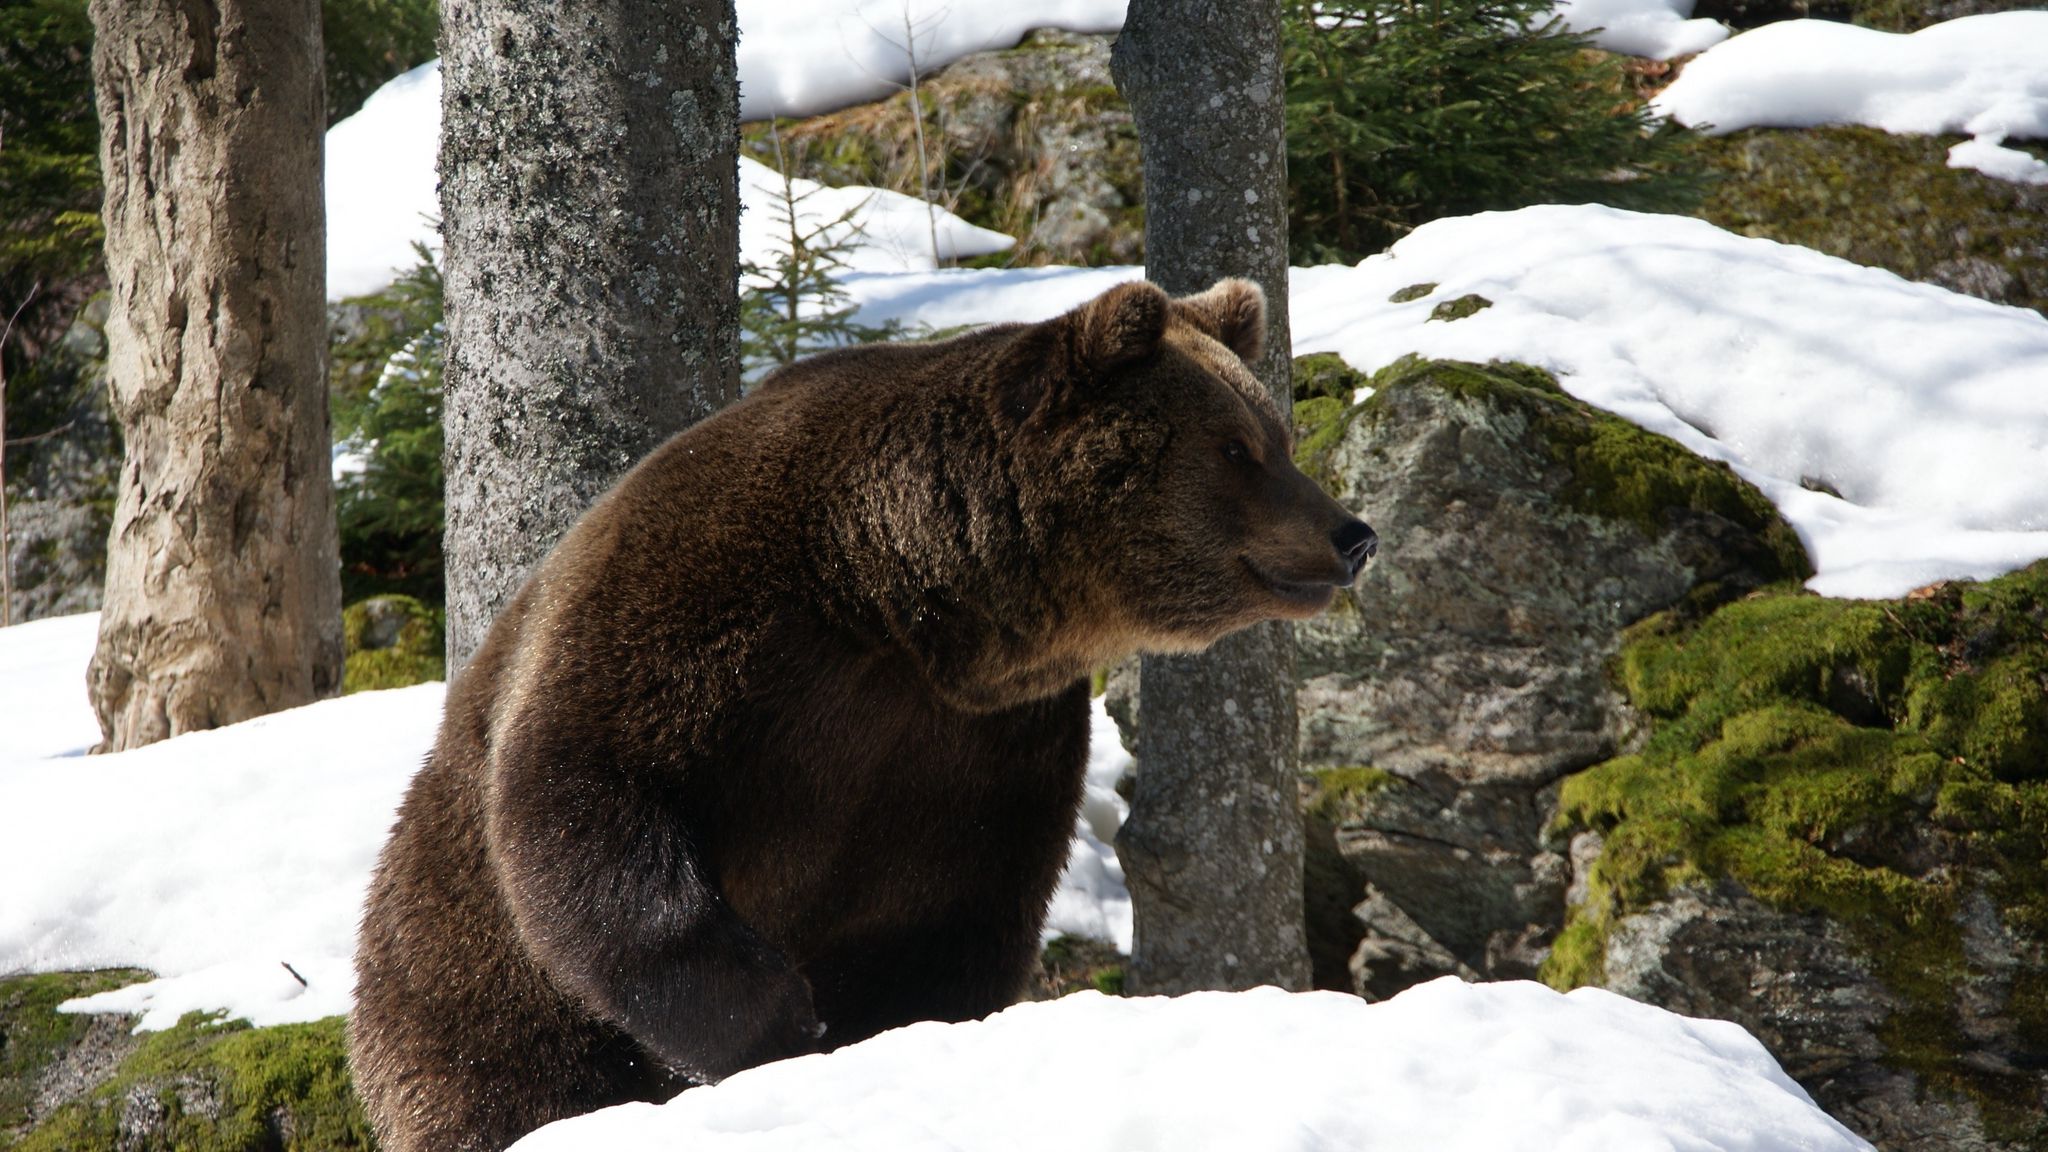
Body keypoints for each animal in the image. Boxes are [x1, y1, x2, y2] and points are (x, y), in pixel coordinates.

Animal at [348, 278, 1376, 1147]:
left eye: (1275, 436)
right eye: (1237, 448)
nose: (1352, 533)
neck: (898, 594)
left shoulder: (978, 742)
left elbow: (952, 913)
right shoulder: (701, 609)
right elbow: (586, 795)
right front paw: (776, 1016)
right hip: (456, 972)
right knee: (496, 1070)